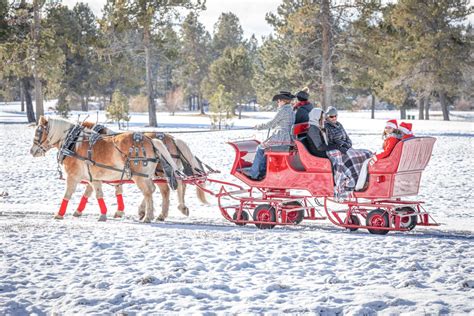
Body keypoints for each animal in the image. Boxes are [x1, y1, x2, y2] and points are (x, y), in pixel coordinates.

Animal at [30, 116, 180, 222]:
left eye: (38, 131)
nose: (32, 151)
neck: (72, 143)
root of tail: (150, 140)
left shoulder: (72, 176)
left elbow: (67, 194)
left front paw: (59, 214)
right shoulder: (94, 178)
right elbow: (97, 194)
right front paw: (101, 214)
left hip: (139, 176)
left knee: (149, 192)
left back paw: (148, 216)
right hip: (147, 175)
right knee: (154, 190)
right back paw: (152, 214)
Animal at [73, 122, 206, 221]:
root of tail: (173, 139)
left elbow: (92, 189)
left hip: (159, 172)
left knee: (168, 188)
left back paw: (171, 210)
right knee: (168, 187)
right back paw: (158, 213)